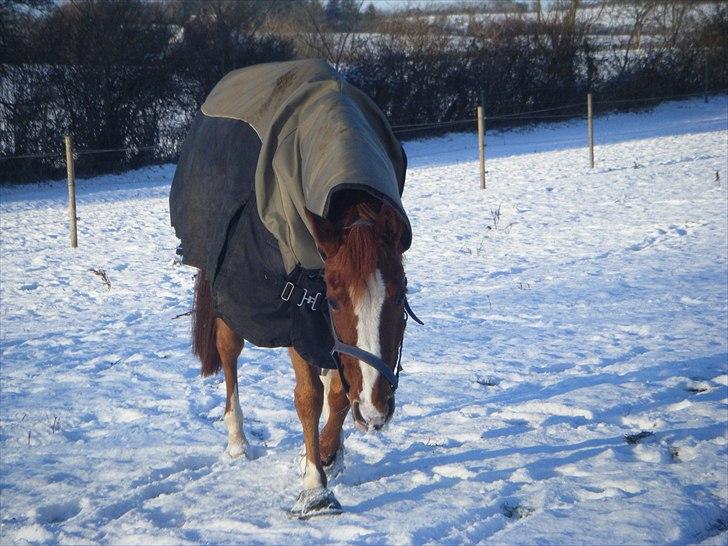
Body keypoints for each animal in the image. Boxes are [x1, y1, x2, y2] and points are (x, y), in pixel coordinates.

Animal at [192, 194, 410, 516]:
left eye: (400, 294)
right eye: (333, 301)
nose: (375, 409)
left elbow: (339, 394)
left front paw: (328, 451)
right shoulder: (298, 318)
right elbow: (309, 398)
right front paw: (315, 488)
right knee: (228, 350)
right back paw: (237, 440)